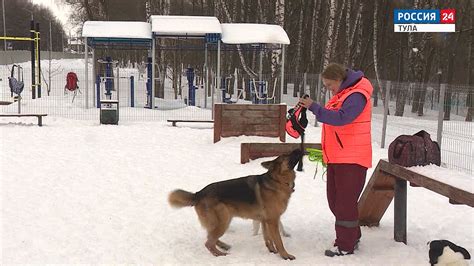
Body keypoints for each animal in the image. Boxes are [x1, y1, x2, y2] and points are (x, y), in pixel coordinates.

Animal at [168, 150, 302, 260]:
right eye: (286, 155)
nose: (298, 149)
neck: (278, 180)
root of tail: (198, 193)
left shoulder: (265, 221)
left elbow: (268, 238)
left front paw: (272, 250)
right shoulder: (273, 221)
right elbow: (278, 240)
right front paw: (285, 255)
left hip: (220, 221)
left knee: (210, 236)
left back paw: (223, 246)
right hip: (224, 220)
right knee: (208, 242)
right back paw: (220, 254)